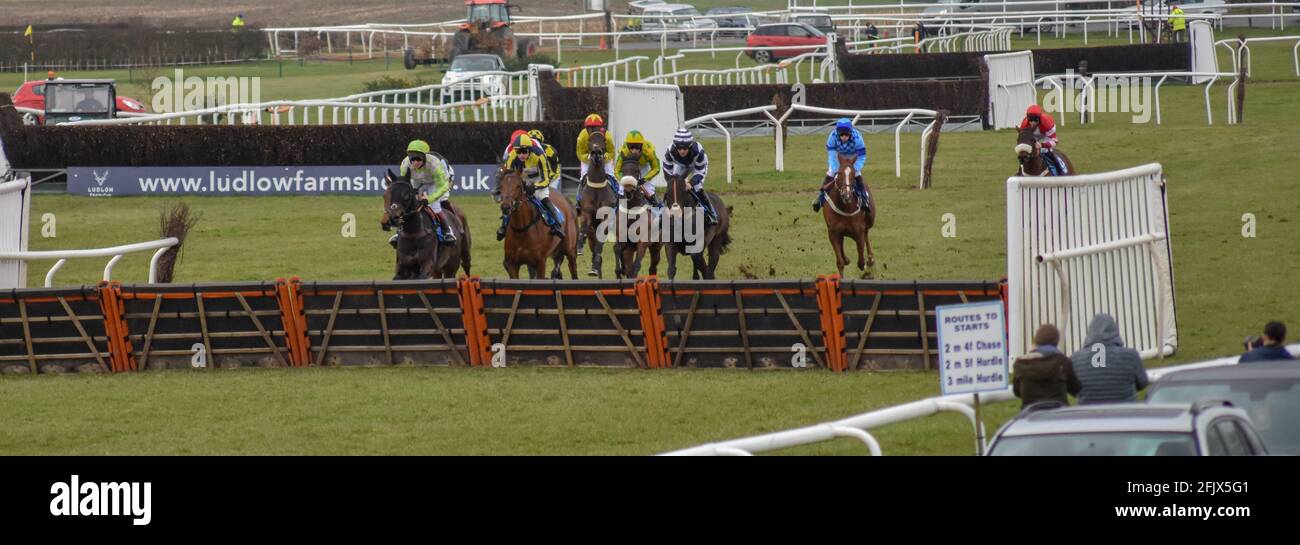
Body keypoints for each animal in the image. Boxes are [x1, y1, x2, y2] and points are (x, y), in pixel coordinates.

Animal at [579, 130, 618, 277]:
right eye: (590, 139)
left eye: (604, 140)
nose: (596, 152)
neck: (596, 187)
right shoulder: (586, 212)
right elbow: (583, 228)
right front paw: (579, 245)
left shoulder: (606, 217)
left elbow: (600, 244)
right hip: (592, 234)